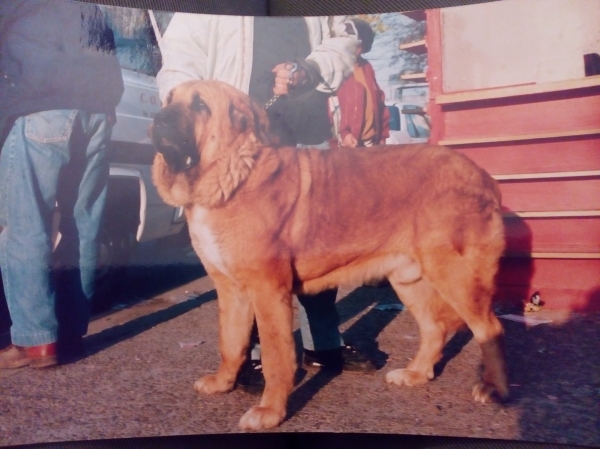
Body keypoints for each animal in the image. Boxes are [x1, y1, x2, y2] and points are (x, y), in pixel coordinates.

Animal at [152, 80, 508, 430]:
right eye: (168, 99)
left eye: (200, 105)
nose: (158, 120)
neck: (231, 172)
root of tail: (482, 176)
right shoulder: (230, 290)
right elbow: (230, 342)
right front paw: (223, 383)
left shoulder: (268, 291)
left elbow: (275, 356)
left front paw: (270, 411)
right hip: (408, 280)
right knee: (434, 329)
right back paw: (416, 374)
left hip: (456, 276)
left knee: (489, 329)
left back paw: (493, 387)